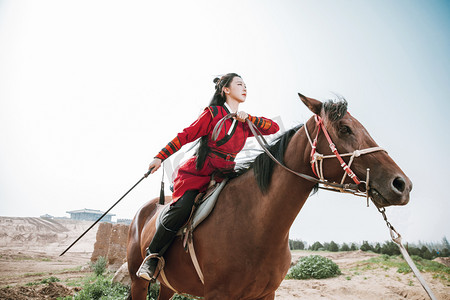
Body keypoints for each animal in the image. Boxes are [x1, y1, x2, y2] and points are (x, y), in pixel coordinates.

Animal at [125, 94, 412, 300]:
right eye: (344, 128)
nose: (402, 185)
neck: (256, 224)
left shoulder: (266, 294)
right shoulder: (218, 295)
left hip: (168, 286)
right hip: (138, 282)